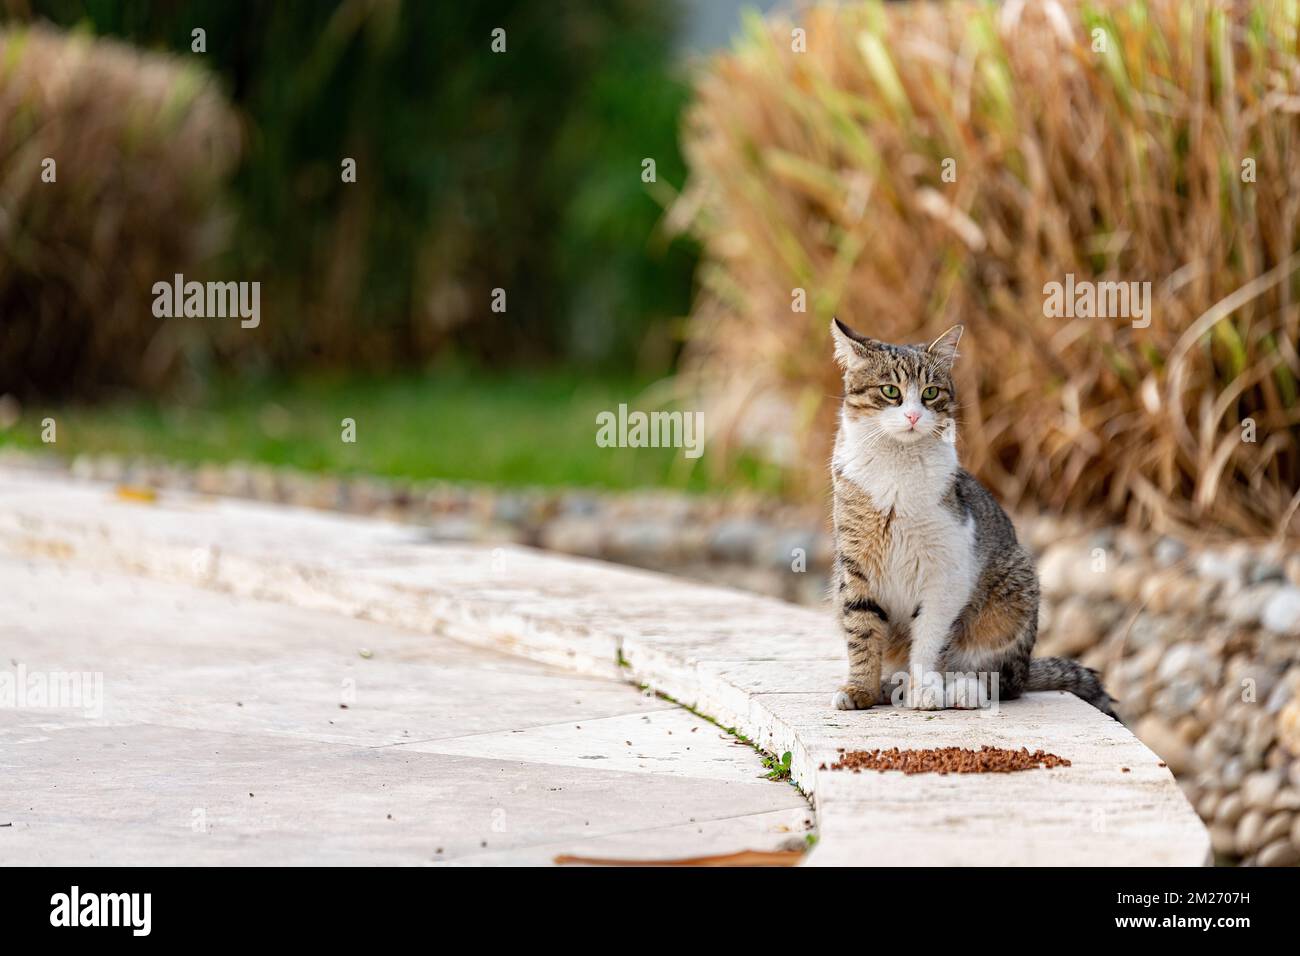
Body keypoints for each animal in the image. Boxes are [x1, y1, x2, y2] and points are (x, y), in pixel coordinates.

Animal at [832, 317, 1118, 712]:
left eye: (931, 393)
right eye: (890, 391)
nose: (913, 415)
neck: (897, 468)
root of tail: (1027, 669)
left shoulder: (946, 572)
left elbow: (930, 639)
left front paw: (926, 690)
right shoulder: (856, 567)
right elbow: (862, 631)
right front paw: (861, 689)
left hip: (1014, 594)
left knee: (1000, 680)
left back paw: (962, 689)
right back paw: (891, 686)